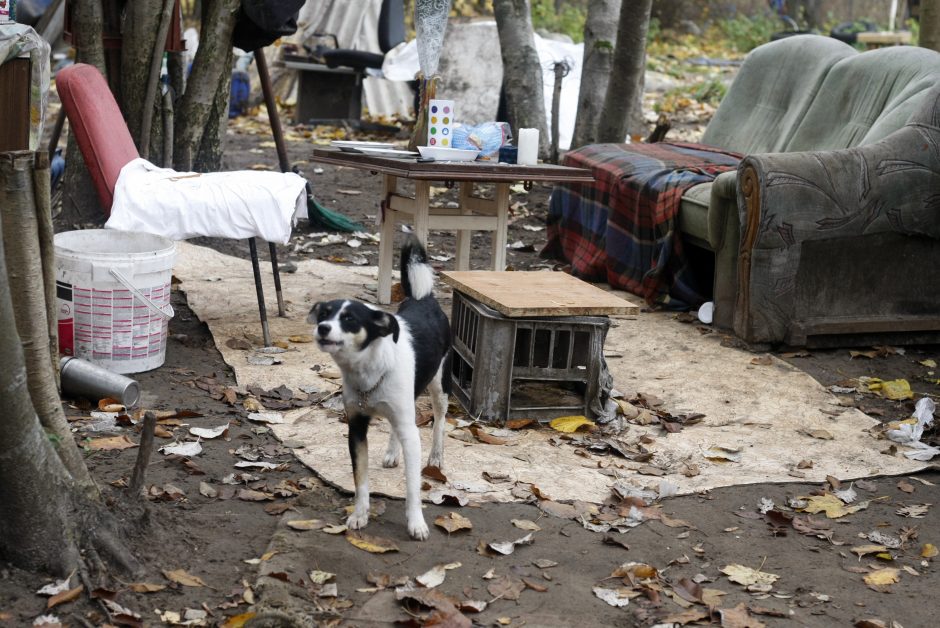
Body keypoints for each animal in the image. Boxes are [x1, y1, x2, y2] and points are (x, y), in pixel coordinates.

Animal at [308, 237, 452, 540]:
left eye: (350, 319)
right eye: (324, 314)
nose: (323, 328)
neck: (369, 370)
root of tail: (424, 299)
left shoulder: (412, 434)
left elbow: (412, 485)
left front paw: (416, 523)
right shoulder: (356, 427)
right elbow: (360, 479)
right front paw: (360, 514)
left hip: (439, 386)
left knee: (439, 420)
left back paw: (435, 457)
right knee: (396, 427)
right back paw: (392, 453)